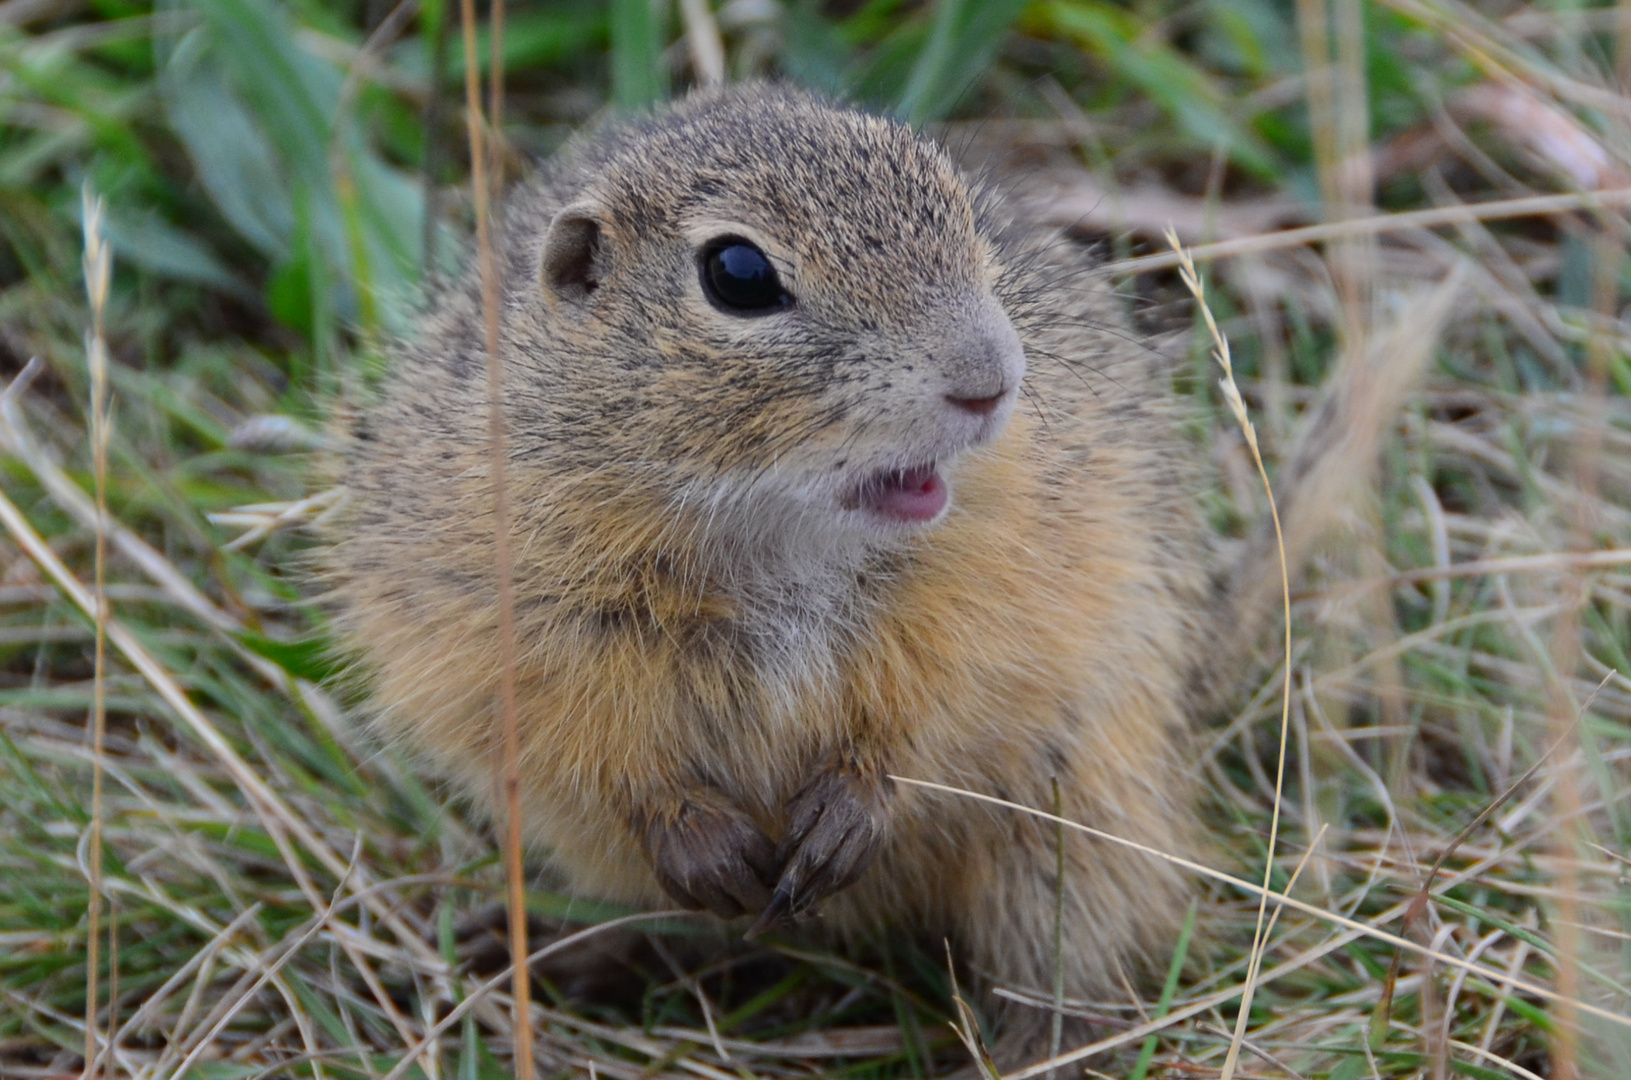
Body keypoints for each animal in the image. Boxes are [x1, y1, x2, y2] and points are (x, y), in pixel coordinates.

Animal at [321, 82, 1246, 1057]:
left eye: (965, 215)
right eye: (737, 274)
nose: (992, 381)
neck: (775, 531)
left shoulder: (1012, 586)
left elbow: (947, 706)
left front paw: (852, 808)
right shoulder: (505, 614)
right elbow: (589, 742)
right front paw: (696, 837)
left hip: (1077, 834)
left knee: (1069, 950)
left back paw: (1040, 1046)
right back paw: (559, 949)